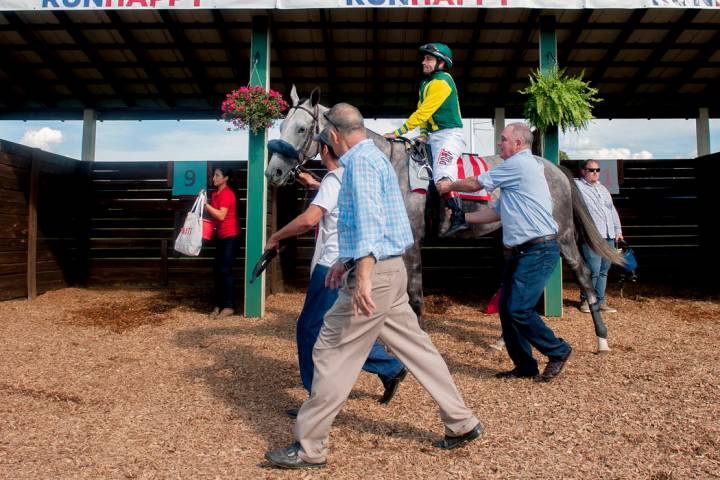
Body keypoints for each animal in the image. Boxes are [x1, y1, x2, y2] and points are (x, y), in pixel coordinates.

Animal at [268, 86, 620, 350]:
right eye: (280, 127)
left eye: (301, 129)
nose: (274, 172)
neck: (388, 165)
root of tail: (552, 166)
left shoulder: (411, 242)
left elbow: (413, 295)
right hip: (512, 240)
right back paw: (503, 341)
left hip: (563, 236)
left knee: (585, 275)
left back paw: (602, 339)